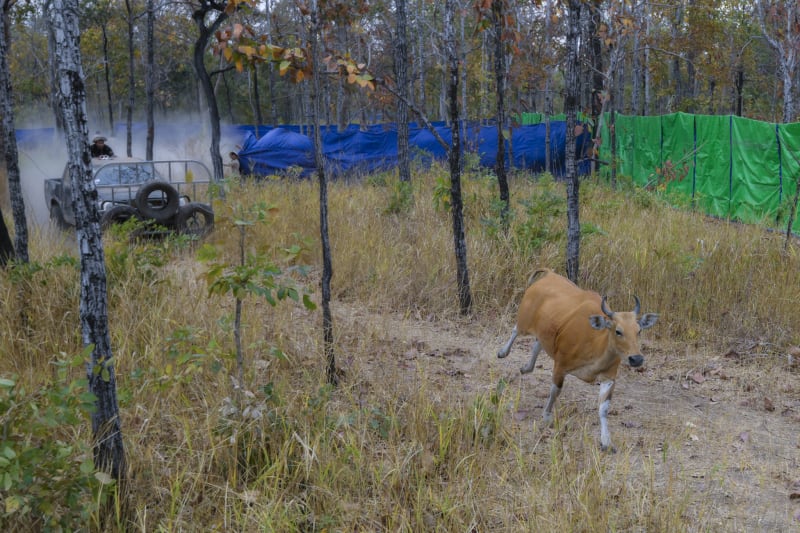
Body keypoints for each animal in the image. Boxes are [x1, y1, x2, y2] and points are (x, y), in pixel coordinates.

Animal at [497, 268, 658, 451]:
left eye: (639, 330)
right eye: (618, 331)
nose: (636, 359)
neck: (595, 345)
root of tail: (549, 274)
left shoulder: (609, 377)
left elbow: (603, 408)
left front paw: (606, 441)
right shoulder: (560, 365)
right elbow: (555, 391)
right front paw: (546, 416)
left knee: (538, 342)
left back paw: (527, 367)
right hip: (524, 318)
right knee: (515, 329)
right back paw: (503, 352)